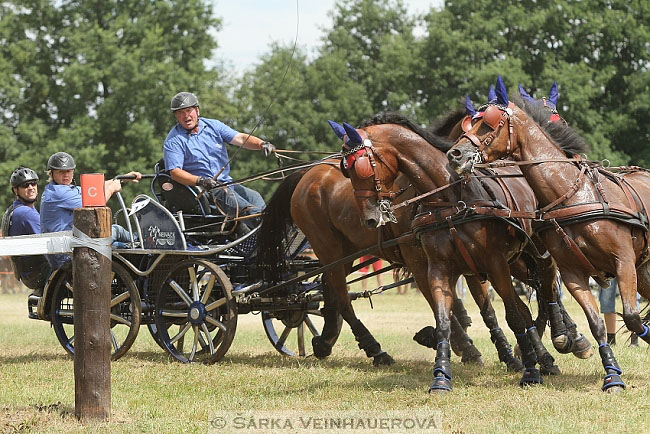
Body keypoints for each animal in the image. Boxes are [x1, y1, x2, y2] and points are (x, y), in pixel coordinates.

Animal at [334, 113, 584, 392]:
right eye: (346, 170)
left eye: (361, 167)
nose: (369, 218)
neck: (450, 200)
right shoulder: (439, 269)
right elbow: (444, 319)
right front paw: (441, 375)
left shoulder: (494, 264)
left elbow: (513, 317)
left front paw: (530, 370)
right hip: (516, 262)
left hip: (538, 252)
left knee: (547, 289)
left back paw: (562, 338)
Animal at [448, 76, 648, 392]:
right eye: (472, 122)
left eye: (489, 124)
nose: (455, 154)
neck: (573, 195)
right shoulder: (568, 270)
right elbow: (595, 322)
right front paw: (609, 373)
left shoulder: (623, 262)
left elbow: (630, 317)